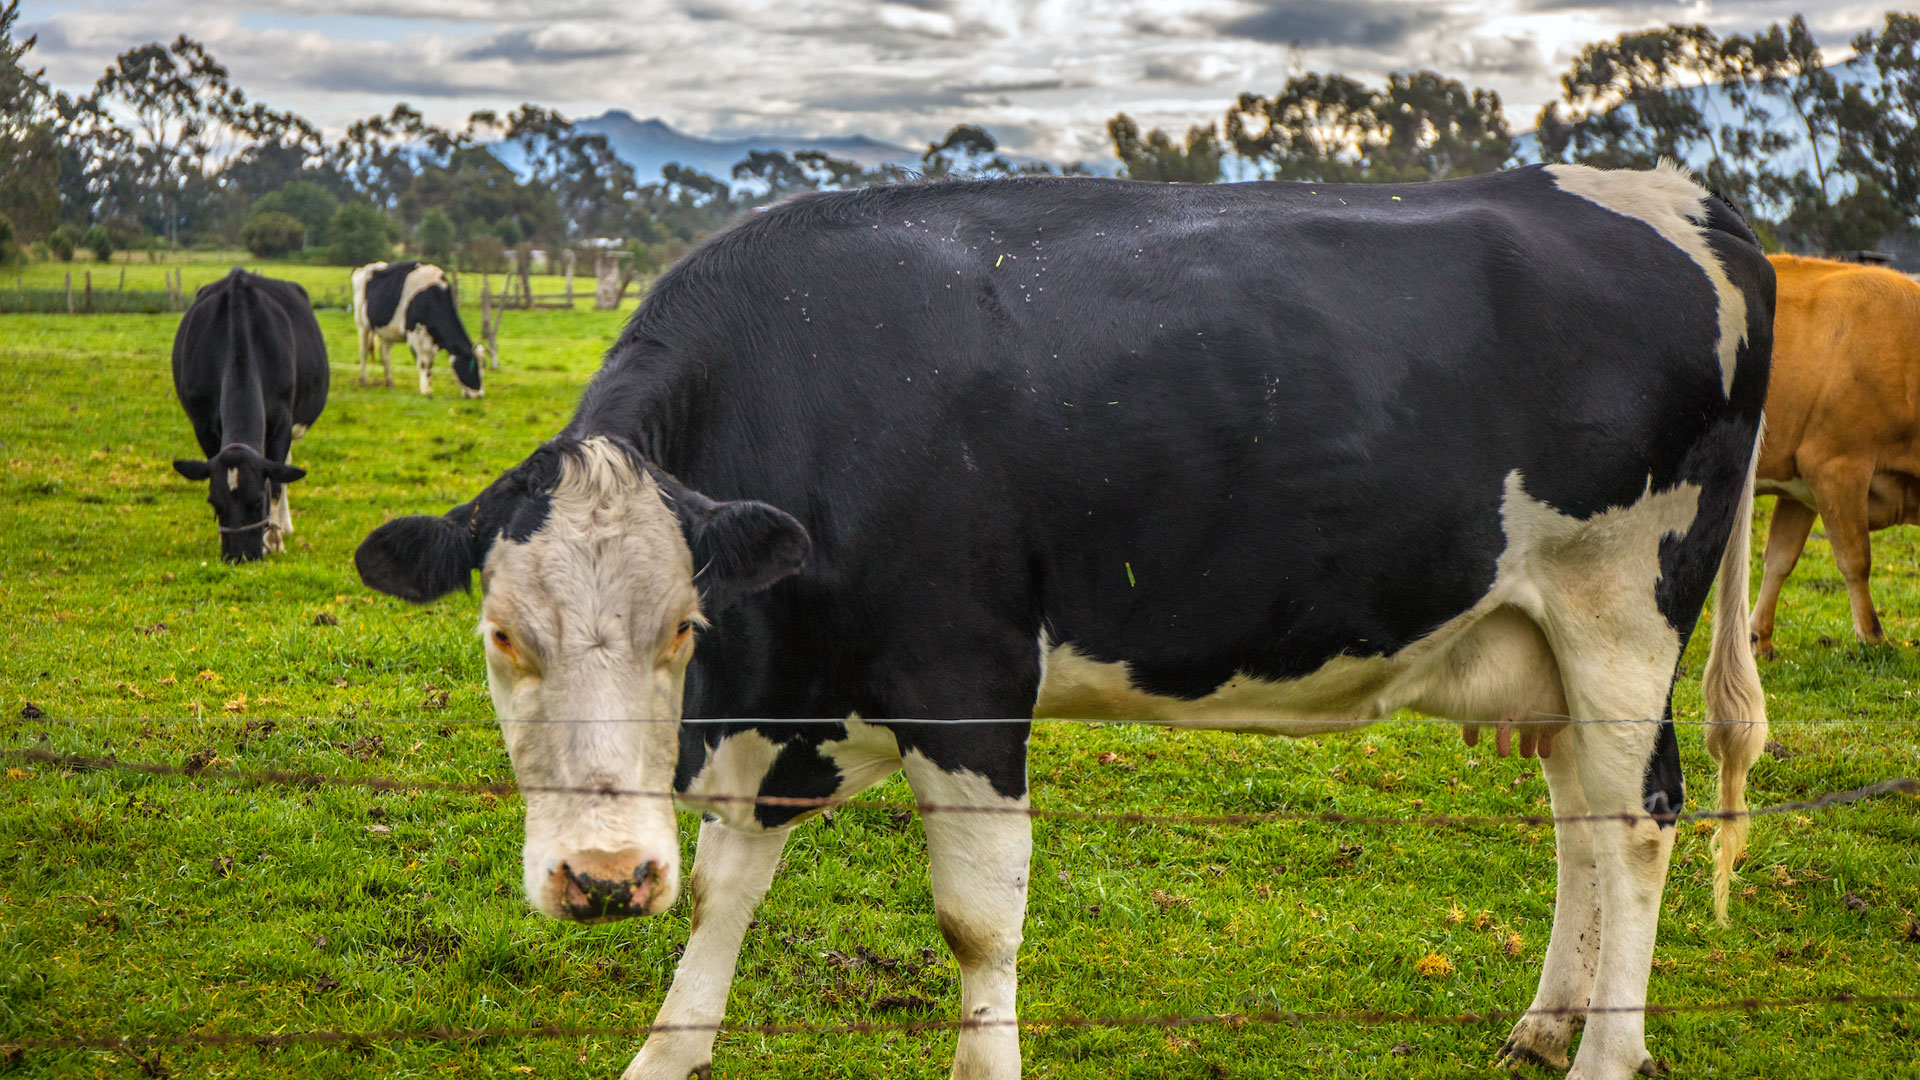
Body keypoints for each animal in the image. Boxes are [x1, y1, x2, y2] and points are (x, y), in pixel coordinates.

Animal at [174, 265, 328, 557]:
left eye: (258, 500)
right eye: (213, 502)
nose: (239, 555)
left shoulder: (282, 419)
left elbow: (276, 482)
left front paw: (274, 539)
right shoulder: (203, 425)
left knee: (285, 465)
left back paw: (284, 525)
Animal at [353, 257, 487, 395]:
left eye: (483, 366)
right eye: (473, 367)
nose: (480, 395)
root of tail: (366, 267)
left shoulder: (431, 338)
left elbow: (430, 363)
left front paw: (428, 387)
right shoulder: (414, 333)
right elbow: (423, 363)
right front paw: (425, 391)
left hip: (387, 330)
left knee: (385, 355)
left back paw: (390, 383)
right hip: (361, 323)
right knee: (363, 351)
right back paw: (363, 380)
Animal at [1758, 253, 1920, 657]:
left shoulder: (1800, 484)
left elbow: (1780, 558)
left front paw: (1759, 640)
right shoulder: (1835, 464)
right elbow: (1856, 559)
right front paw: (1872, 638)